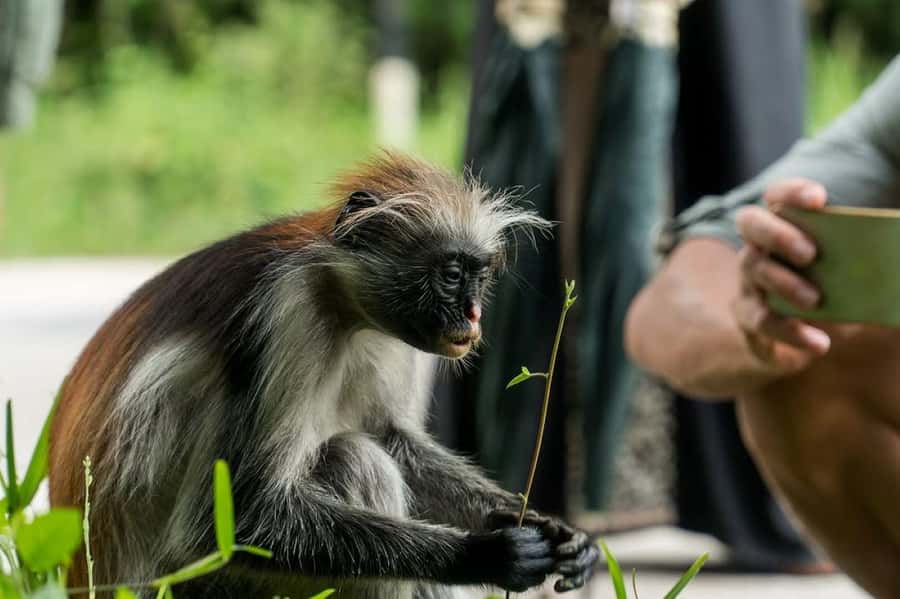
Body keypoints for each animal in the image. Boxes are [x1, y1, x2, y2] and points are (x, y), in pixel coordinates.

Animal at [49, 152, 599, 598]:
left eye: (480, 275)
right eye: (450, 274)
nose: (473, 315)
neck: (339, 299)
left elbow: (392, 436)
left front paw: (548, 526)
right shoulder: (284, 311)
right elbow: (236, 522)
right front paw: (487, 553)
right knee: (355, 459)